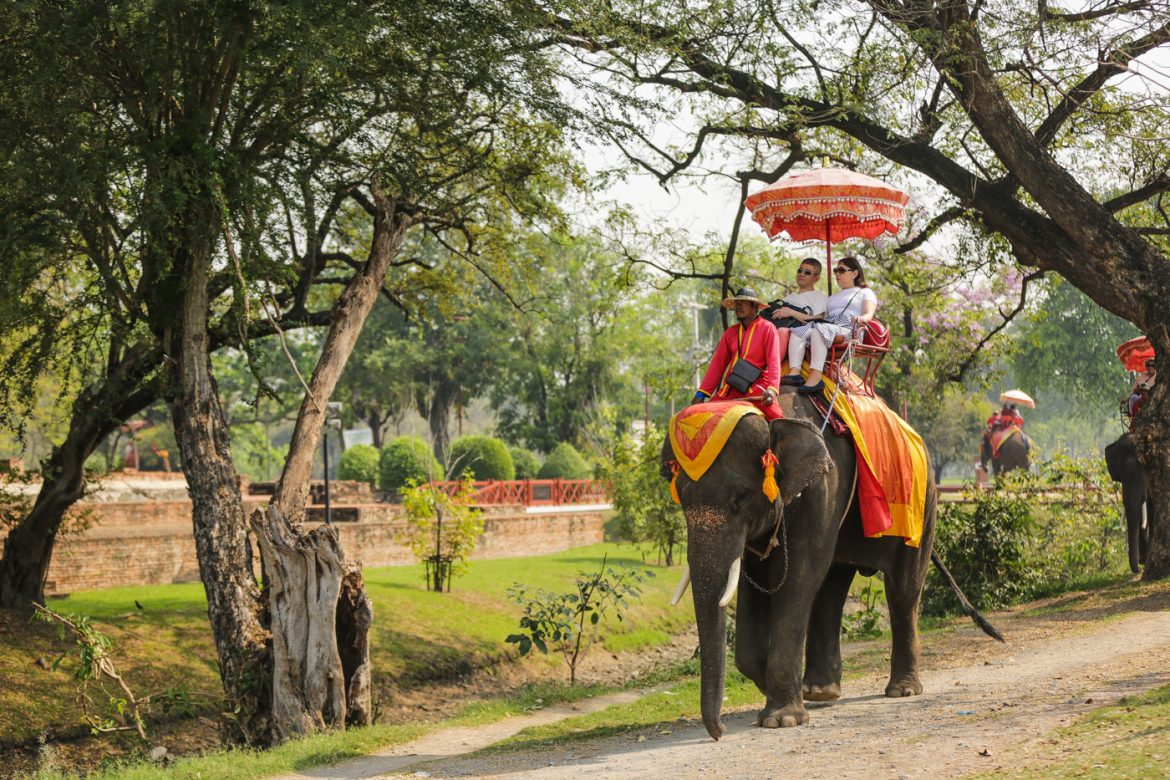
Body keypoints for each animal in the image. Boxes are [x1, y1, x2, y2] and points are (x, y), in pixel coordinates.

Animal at [664, 392, 1001, 743]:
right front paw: (780, 693)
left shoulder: (823, 488)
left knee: (902, 591)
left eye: (741, 497)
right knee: (833, 587)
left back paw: (902, 690)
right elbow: (754, 584)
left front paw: (782, 720)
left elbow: (797, 578)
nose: (719, 733)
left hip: (923, 506)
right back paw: (821, 692)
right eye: (681, 498)